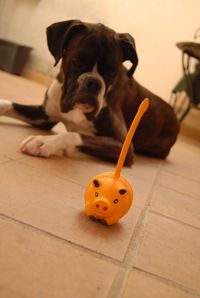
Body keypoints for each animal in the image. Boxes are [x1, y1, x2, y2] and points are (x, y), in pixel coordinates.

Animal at [0, 19, 180, 165]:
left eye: (112, 72)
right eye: (77, 61)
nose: (93, 83)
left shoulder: (125, 147)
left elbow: (74, 135)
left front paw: (44, 142)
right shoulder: (43, 116)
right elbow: (8, 105)